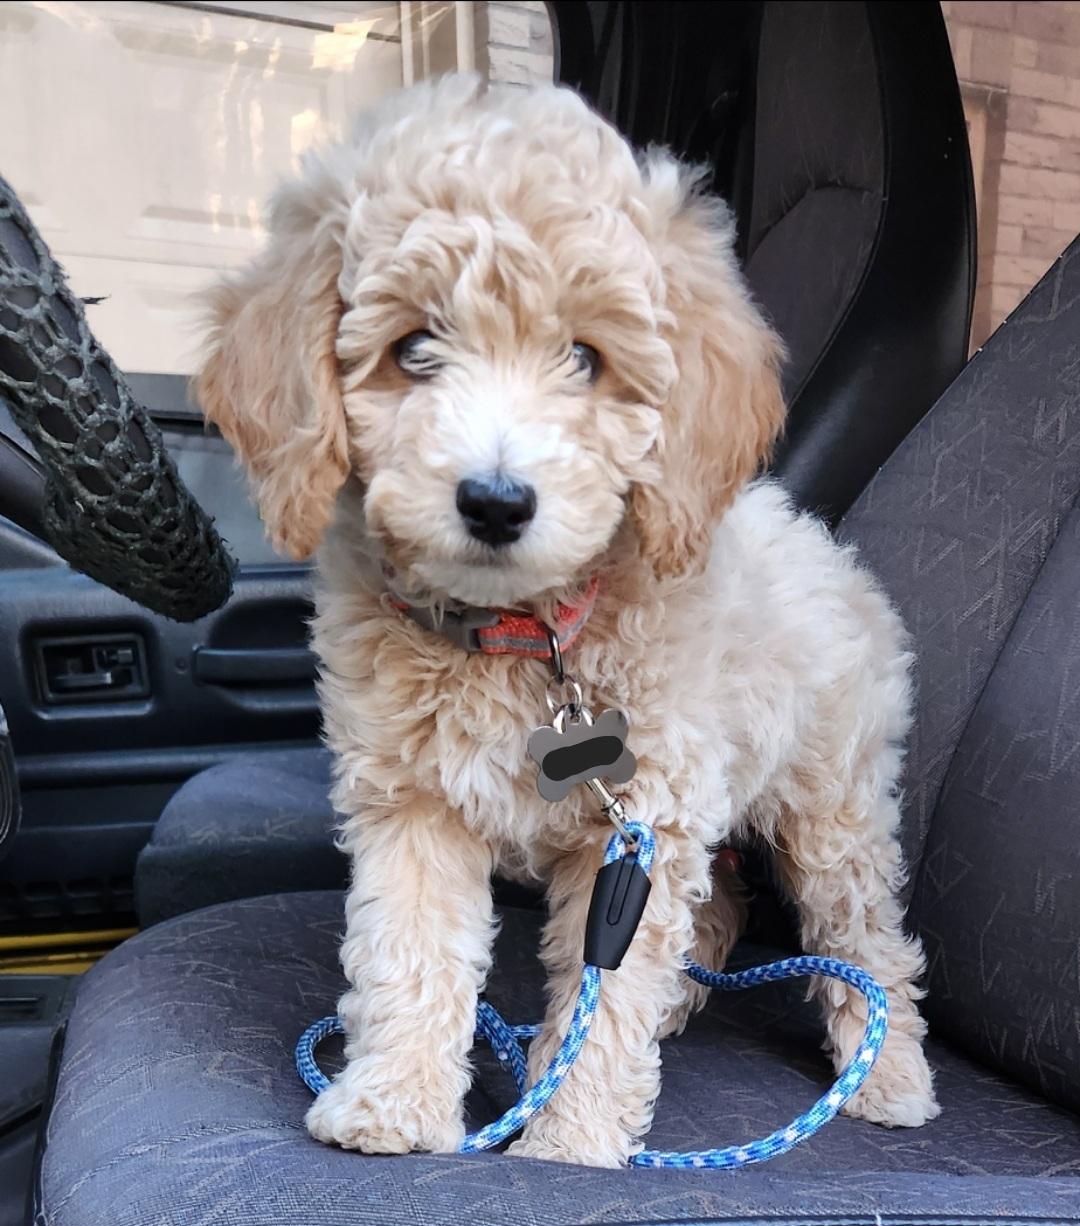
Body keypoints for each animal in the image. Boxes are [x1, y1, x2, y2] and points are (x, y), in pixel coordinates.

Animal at [196, 75, 939, 1168]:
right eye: (413, 349)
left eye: (586, 358)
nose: (497, 500)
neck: (523, 635)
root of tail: (835, 554)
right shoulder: (412, 800)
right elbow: (408, 949)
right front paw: (393, 1104)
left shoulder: (640, 825)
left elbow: (608, 992)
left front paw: (569, 1138)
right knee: (723, 904)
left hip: (832, 804)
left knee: (866, 938)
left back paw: (889, 1077)